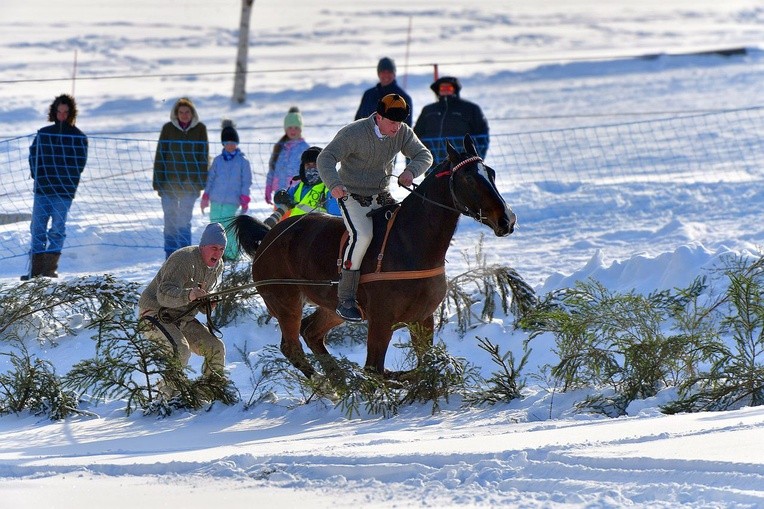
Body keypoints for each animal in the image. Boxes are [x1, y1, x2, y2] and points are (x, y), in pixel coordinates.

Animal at [233, 133, 516, 380]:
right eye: (468, 178)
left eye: (491, 173)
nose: (507, 219)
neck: (409, 243)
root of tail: (267, 237)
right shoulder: (381, 322)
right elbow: (376, 370)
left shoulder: (423, 318)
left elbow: (424, 366)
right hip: (285, 301)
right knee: (292, 346)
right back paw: (327, 386)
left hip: (332, 307)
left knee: (311, 331)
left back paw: (339, 381)